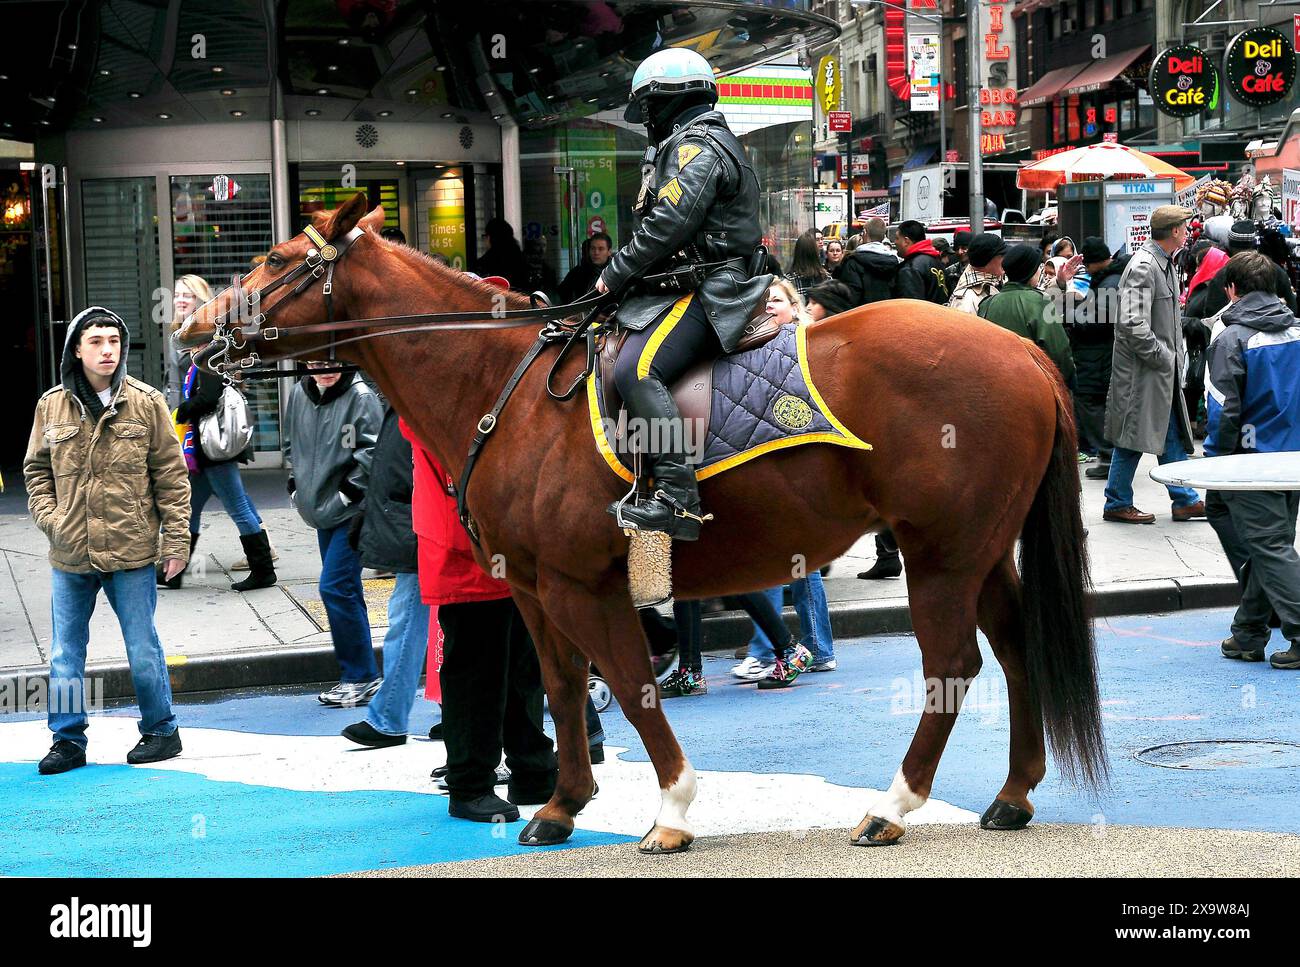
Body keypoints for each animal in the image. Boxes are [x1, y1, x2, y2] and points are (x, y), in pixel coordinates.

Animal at [175, 193, 1107, 853]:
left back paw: (894, 803)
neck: (499, 386)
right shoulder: (535, 589)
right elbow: (560, 687)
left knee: (952, 665)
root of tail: (1025, 351)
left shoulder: (583, 584)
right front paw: (560, 802)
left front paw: (672, 809)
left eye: (276, 258)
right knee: (1016, 646)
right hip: (981, 552)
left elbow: (628, 681)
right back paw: (1013, 792)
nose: (191, 326)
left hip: (941, 552)